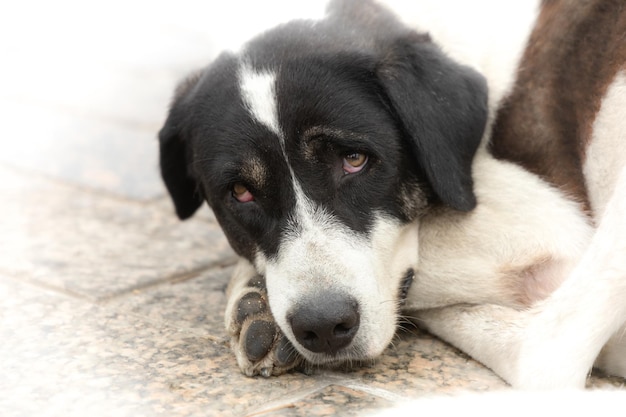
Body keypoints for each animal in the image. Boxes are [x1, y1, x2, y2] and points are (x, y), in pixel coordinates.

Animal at [157, 0, 624, 388]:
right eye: (240, 192)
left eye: (355, 159)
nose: (322, 326)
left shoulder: (548, 226)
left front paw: (254, 300)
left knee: (541, 352)